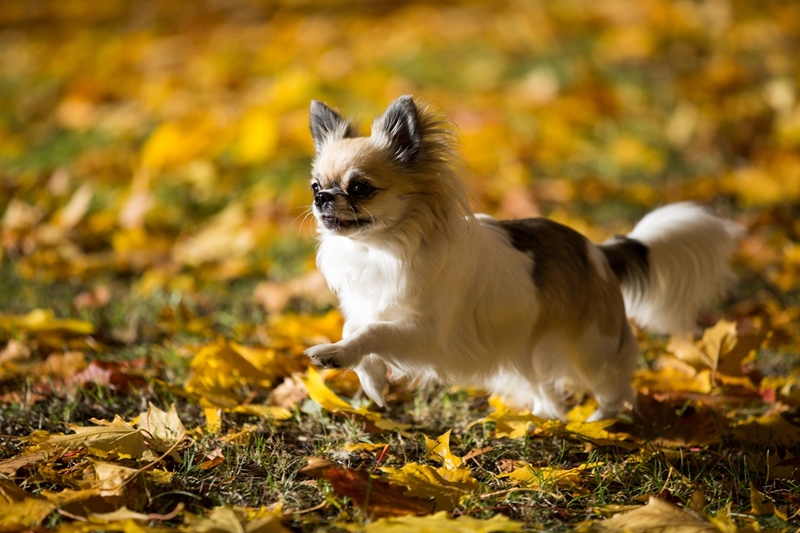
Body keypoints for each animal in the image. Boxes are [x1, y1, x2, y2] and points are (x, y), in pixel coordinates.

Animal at [304, 95, 740, 420]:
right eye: (315, 185)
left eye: (360, 188)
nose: (322, 197)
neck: (379, 249)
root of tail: (598, 252)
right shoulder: (371, 308)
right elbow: (356, 327)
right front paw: (371, 380)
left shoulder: (429, 333)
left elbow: (375, 331)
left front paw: (338, 355)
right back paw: (545, 416)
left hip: (591, 350)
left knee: (616, 388)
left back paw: (597, 422)